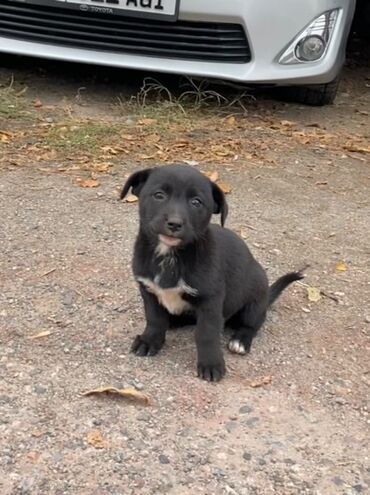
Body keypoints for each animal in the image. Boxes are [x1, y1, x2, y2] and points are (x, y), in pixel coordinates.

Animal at [120, 165, 302, 382]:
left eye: (196, 202)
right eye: (159, 195)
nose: (174, 223)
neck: (170, 255)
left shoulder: (210, 301)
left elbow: (206, 333)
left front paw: (211, 364)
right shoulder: (148, 290)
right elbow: (154, 319)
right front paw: (149, 341)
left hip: (255, 300)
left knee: (253, 323)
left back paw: (241, 340)